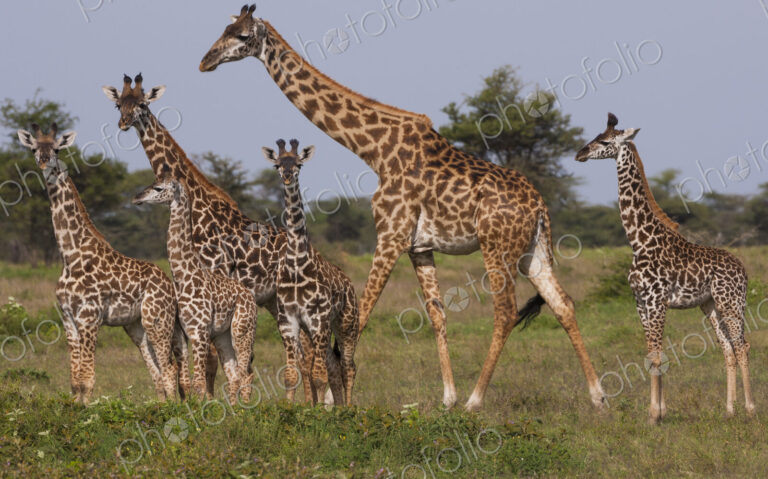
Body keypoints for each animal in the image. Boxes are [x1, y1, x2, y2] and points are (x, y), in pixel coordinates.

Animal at [17, 123, 189, 403]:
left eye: (56, 148)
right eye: (34, 148)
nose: (44, 162)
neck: (70, 254)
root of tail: (169, 285)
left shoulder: (89, 317)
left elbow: (87, 379)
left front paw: (87, 410)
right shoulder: (68, 319)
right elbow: (75, 381)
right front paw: (76, 410)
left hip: (157, 320)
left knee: (169, 367)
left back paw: (173, 408)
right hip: (135, 326)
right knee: (155, 369)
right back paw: (161, 406)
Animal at [133, 170, 257, 404]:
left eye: (159, 188)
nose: (137, 197)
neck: (183, 276)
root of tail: (250, 296)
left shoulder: (199, 332)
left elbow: (199, 383)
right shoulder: (181, 333)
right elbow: (186, 381)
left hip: (242, 329)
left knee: (246, 373)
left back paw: (246, 410)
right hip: (222, 336)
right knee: (234, 375)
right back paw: (234, 410)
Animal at [262, 139, 358, 406]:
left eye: (299, 164)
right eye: (277, 164)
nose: (287, 176)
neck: (296, 263)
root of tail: (350, 285)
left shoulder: (318, 318)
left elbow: (317, 375)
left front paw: (318, 412)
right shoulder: (289, 320)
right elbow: (291, 374)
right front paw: (290, 408)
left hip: (346, 324)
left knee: (349, 366)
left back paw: (349, 407)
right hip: (322, 328)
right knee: (335, 365)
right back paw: (339, 407)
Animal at [576, 113, 755, 423]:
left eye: (605, 141)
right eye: (596, 136)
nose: (580, 153)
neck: (639, 241)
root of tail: (742, 269)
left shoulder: (657, 301)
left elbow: (658, 355)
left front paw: (653, 415)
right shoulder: (640, 302)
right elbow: (651, 355)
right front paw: (659, 412)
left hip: (731, 301)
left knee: (742, 346)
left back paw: (750, 409)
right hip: (710, 305)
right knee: (728, 349)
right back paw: (729, 410)